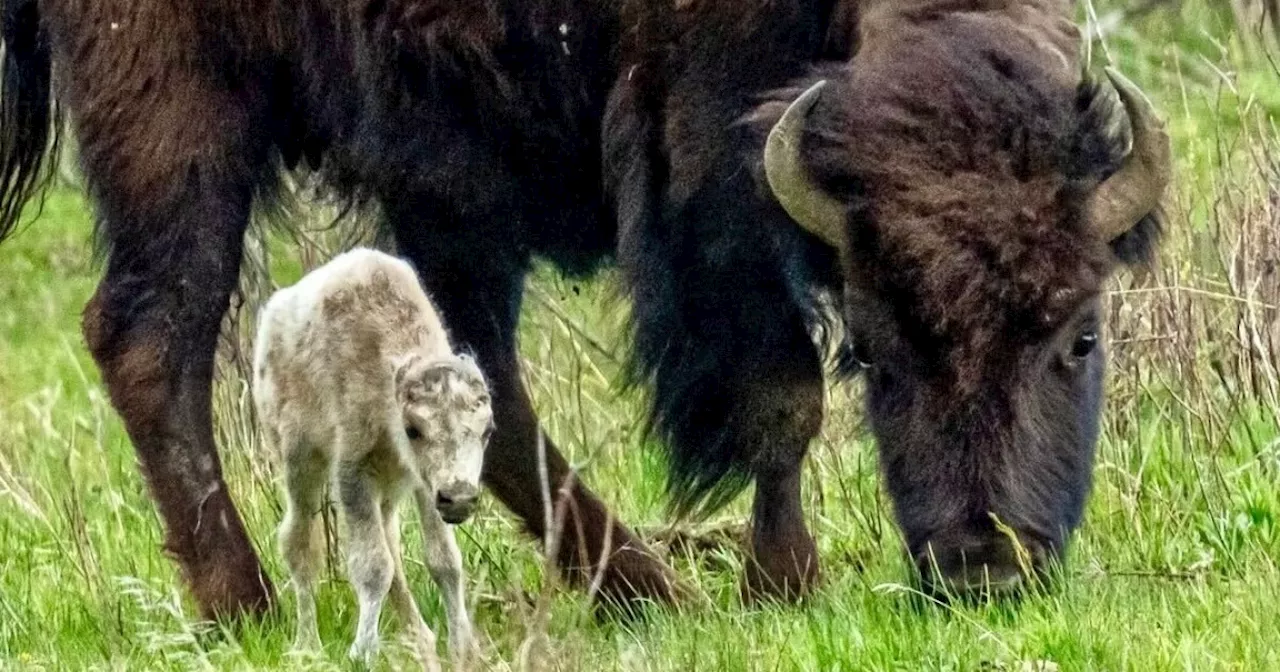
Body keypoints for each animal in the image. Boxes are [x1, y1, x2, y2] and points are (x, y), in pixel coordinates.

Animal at [0, 0, 1172, 619]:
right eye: (876, 355)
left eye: (1081, 333)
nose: (983, 566)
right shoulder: (707, 158)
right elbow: (781, 396)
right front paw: (781, 584)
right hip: (180, 120)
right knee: (151, 338)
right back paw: (245, 604)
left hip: (438, 185)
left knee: (472, 380)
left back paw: (637, 586)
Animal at [252, 248, 491, 665]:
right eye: (414, 429)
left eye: (487, 430)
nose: (460, 497)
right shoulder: (352, 474)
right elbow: (372, 566)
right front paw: (361, 652)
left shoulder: (426, 486)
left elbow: (444, 560)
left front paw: (464, 649)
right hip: (299, 464)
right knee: (299, 544)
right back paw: (308, 646)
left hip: (389, 492)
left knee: (391, 548)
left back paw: (420, 640)